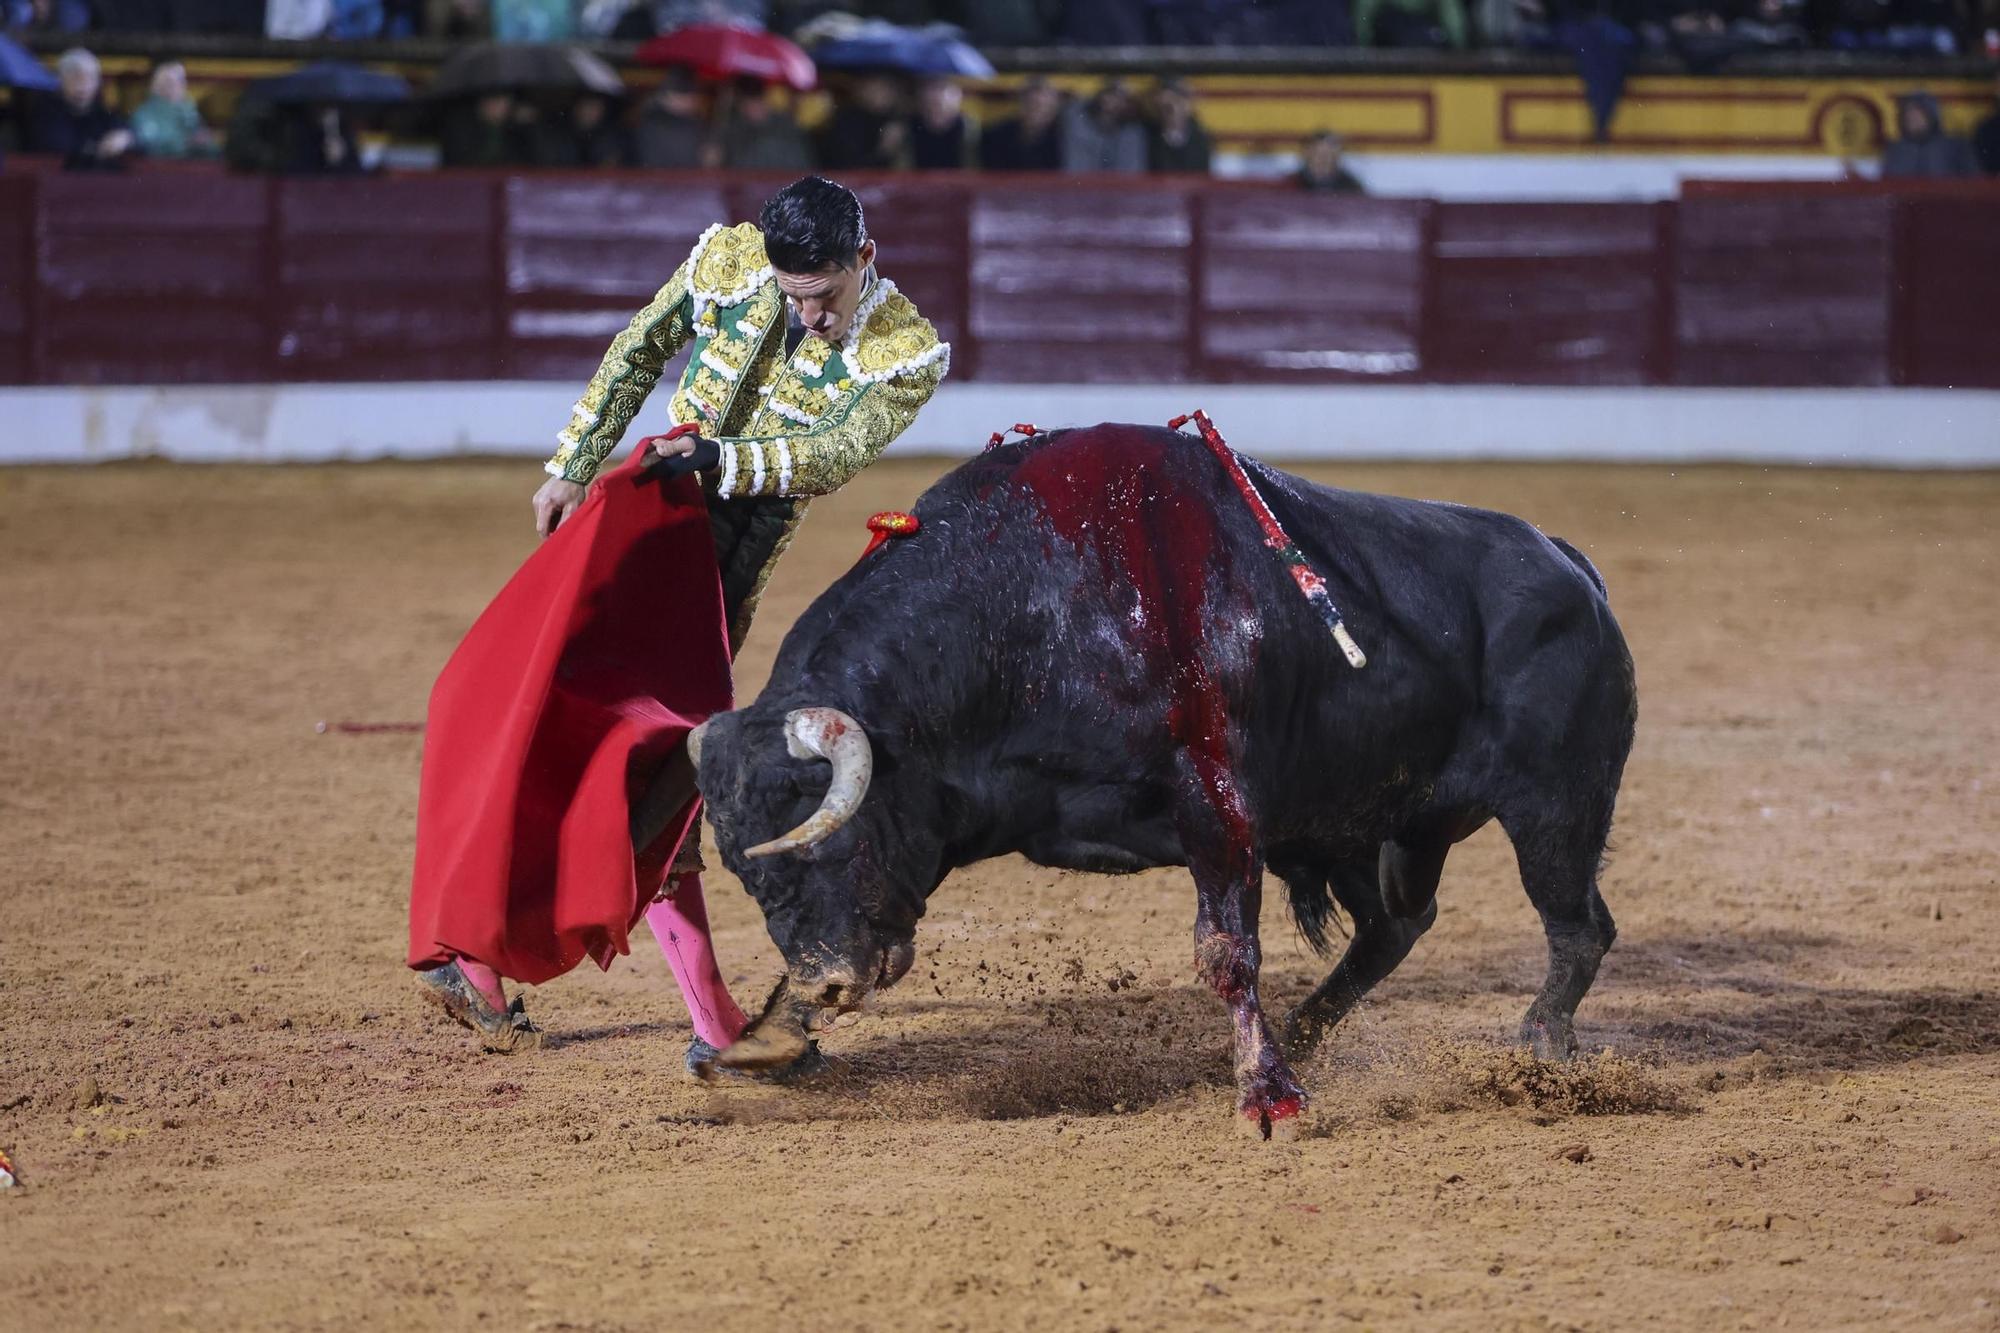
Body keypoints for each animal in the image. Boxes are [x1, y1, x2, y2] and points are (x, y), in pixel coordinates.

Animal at [696, 420, 1632, 1128]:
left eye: (829, 842)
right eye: (749, 876)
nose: (828, 982)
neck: (1031, 608)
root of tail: (1572, 567)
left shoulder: (1216, 800)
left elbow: (1226, 950)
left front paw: (1267, 1096)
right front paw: (769, 1032)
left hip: (1557, 807)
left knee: (1576, 924)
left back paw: (1541, 1051)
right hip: (1375, 824)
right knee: (1396, 924)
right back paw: (1308, 1029)